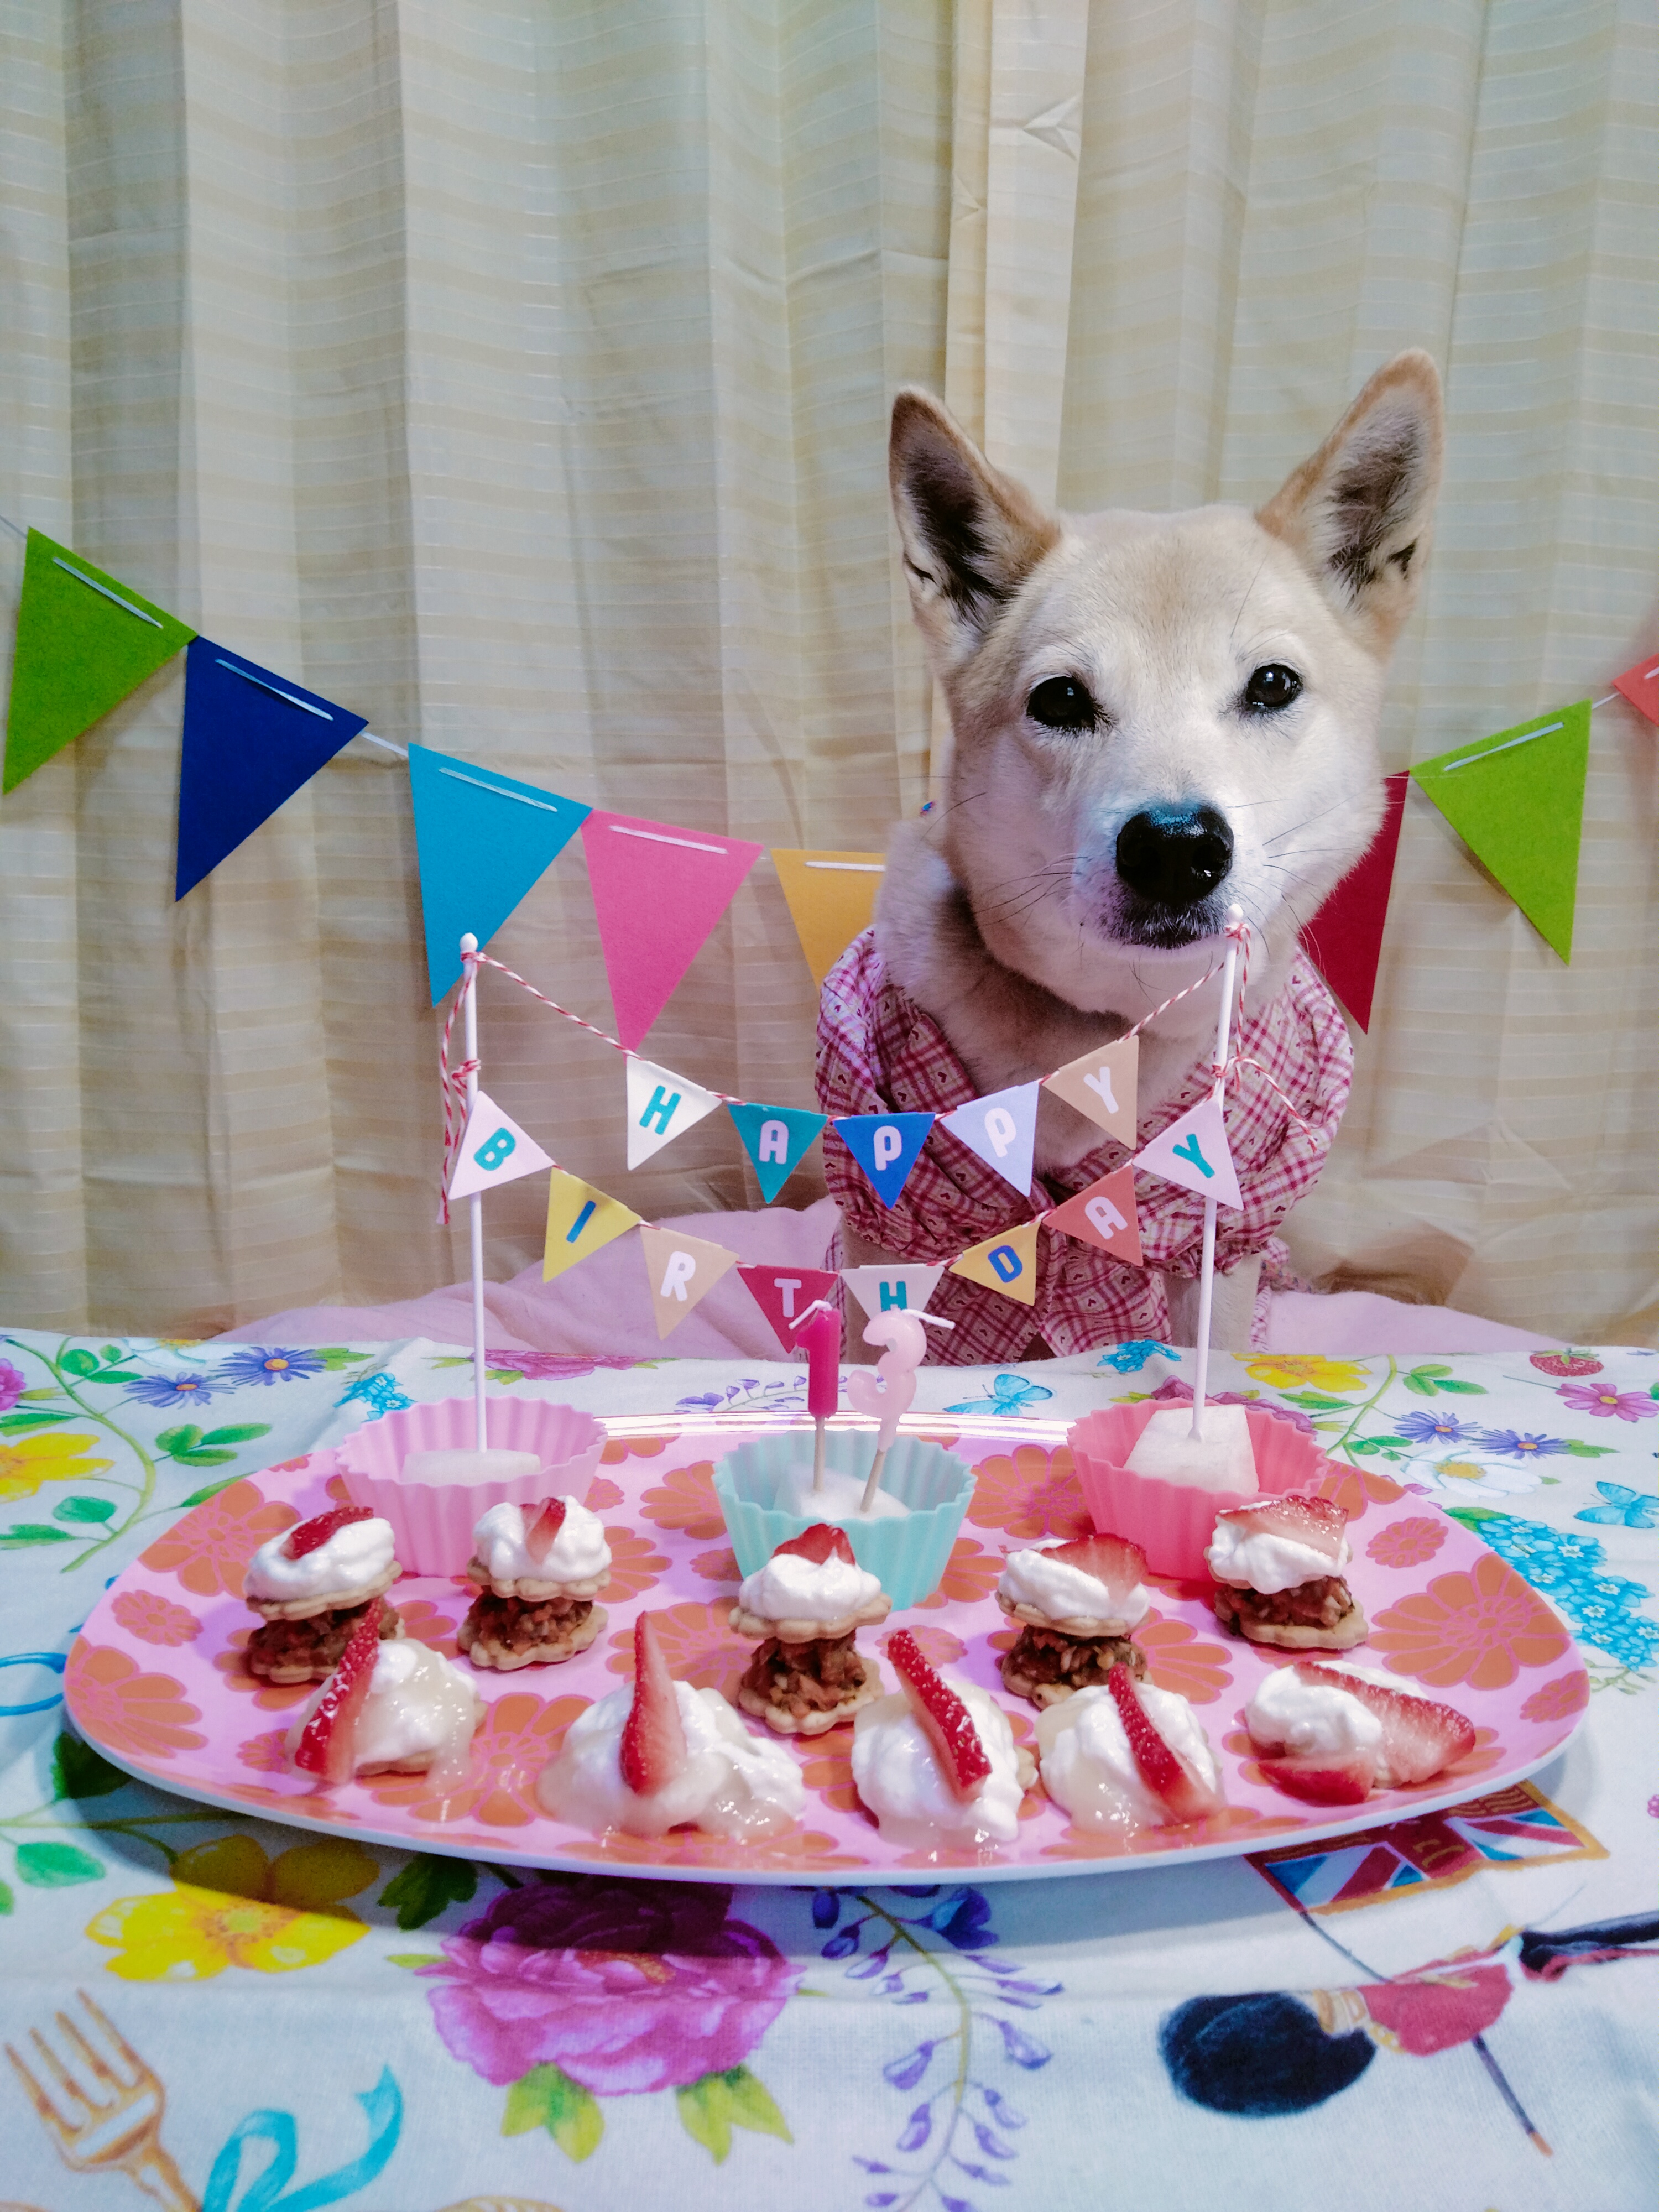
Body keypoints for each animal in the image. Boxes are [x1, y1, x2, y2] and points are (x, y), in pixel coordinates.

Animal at [817, 352, 1444, 1360]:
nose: (1176, 847)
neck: (1115, 1031)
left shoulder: (1222, 1231)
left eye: (1273, 685)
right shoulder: (894, 1209)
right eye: (1062, 700)